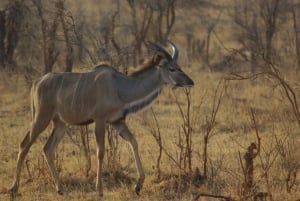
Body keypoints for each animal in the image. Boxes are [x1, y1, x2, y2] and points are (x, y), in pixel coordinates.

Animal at [9, 40, 193, 199]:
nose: (190, 82)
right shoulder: (100, 120)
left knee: (47, 148)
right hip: (41, 118)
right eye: (172, 69)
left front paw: (138, 185)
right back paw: (14, 189)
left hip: (60, 124)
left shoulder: (117, 122)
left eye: (178, 67)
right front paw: (99, 190)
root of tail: (37, 82)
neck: (119, 87)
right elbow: (101, 151)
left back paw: (60, 189)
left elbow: (133, 142)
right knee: (24, 145)